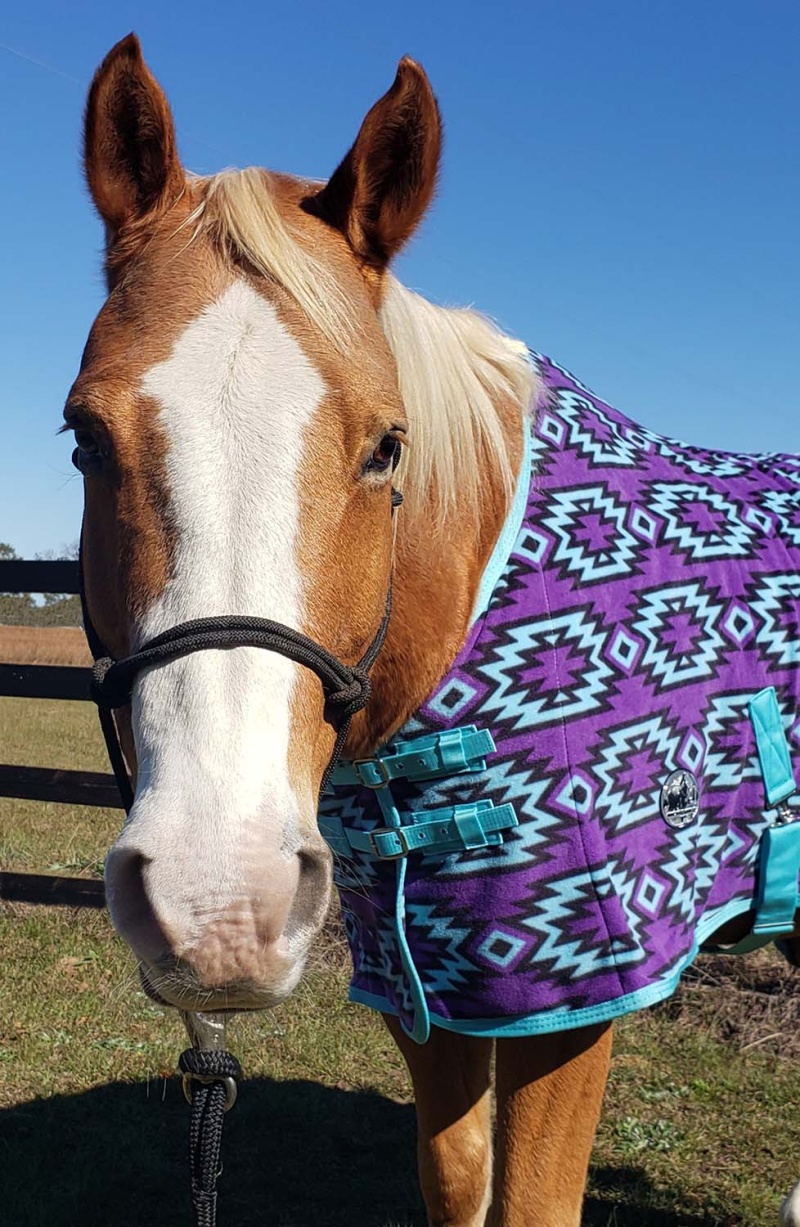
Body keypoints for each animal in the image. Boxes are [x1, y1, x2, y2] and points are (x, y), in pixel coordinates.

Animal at [69, 34, 800, 1226]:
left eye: (386, 446)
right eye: (85, 438)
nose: (217, 903)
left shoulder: (570, 1001)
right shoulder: (430, 979)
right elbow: (459, 1177)